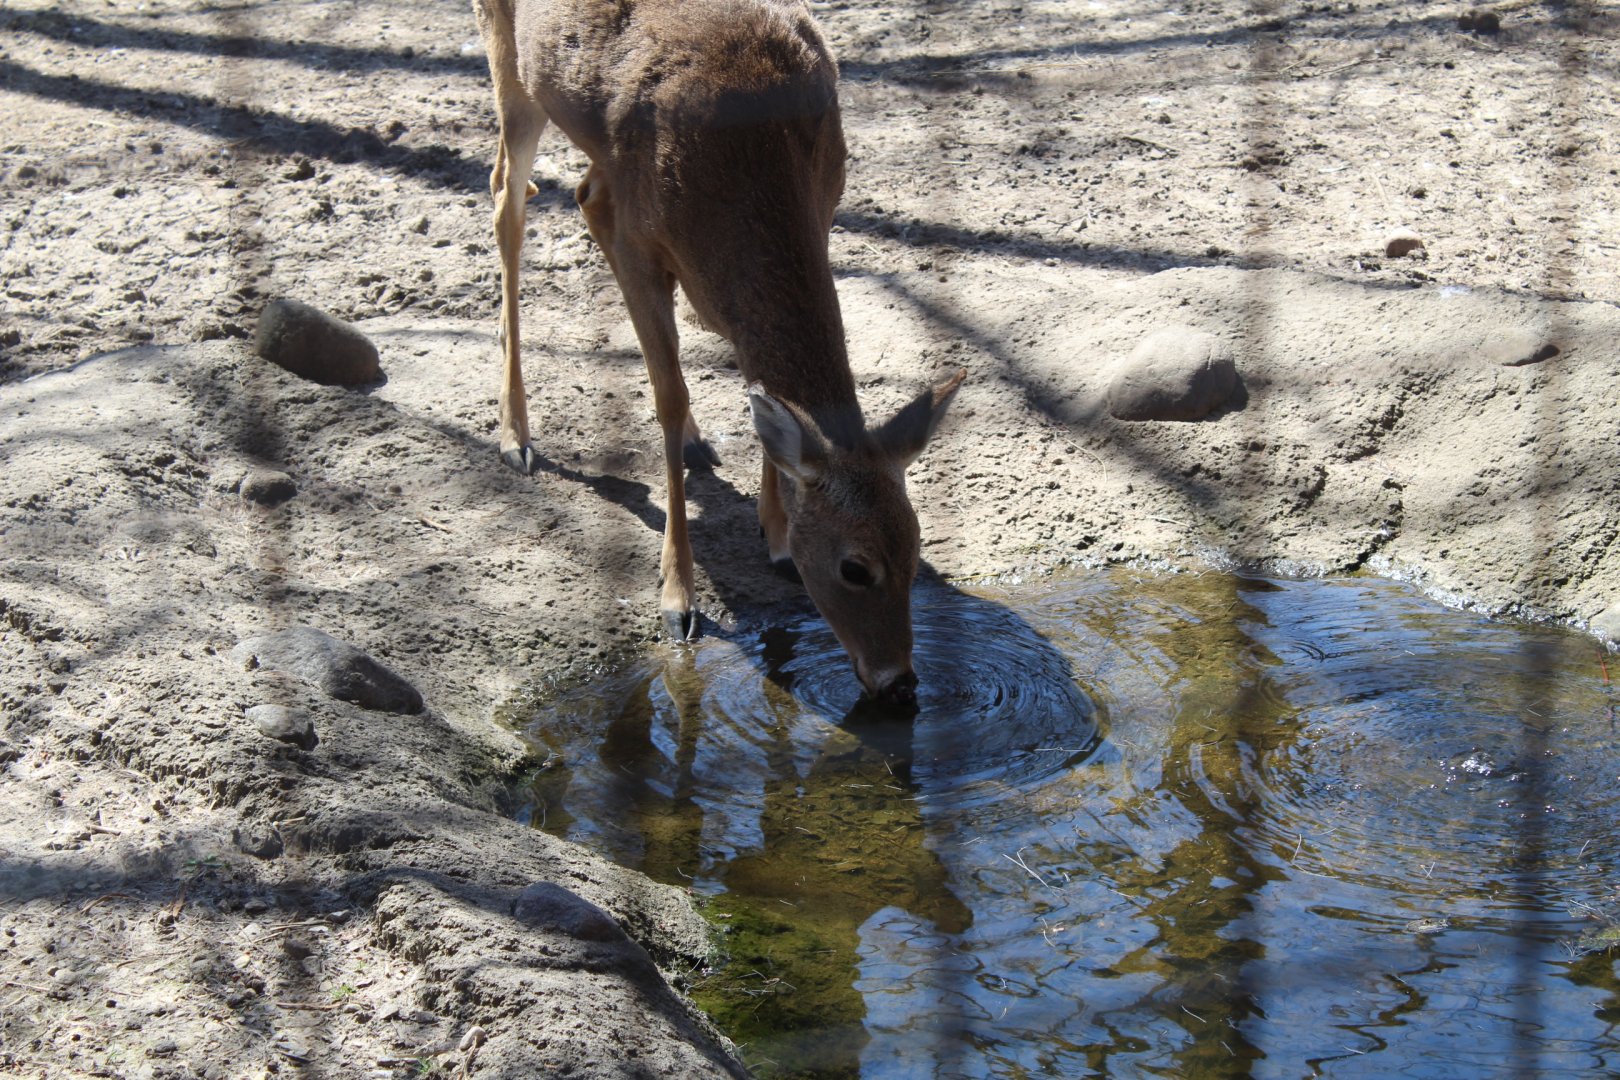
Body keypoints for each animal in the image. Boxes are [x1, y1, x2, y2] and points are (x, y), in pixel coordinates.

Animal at [471, 0, 963, 707]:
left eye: (917, 545)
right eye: (854, 567)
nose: (899, 683)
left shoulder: (827, 201)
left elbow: (763, 399)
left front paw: (777, 538)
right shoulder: (639, 241)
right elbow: (669, 395)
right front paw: (677, 598)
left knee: (576, 189)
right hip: (509, 60)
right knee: (509, 193)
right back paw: (515, 435)